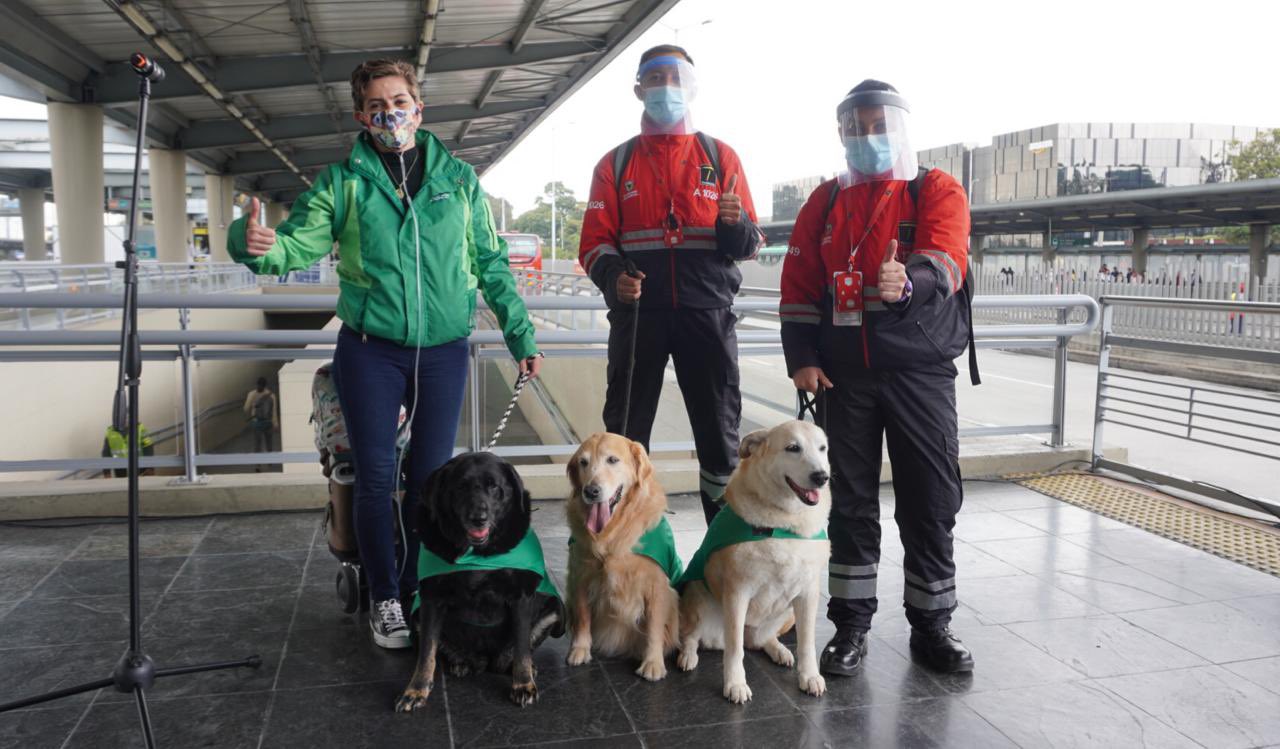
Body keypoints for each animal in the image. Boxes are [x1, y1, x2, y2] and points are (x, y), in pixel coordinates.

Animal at [394, 453, 565, 711]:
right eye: (461, 487)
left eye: (494, 486)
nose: (478, 519)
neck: (477, 554)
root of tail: (485, 661)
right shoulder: (431, 599)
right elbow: (426, 652)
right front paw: (416, 690)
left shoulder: (521, 596)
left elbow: (522, 646)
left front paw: (523, 684)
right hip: (416, 617)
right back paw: (459, 663)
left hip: (556, 610)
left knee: (518, 650)